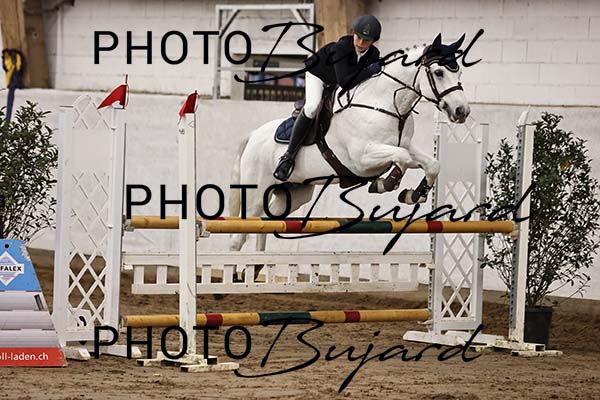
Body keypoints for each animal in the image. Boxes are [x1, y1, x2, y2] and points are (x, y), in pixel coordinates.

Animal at [228, 33, 471, 253]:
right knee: (239, 234)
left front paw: (413, 194)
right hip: (256, 191)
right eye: (439, 72)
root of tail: (253, 135)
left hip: (292, 193)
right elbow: (401, 158)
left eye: (458, 71)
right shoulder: (362, 158)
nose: (462, 111)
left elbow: (430, 164)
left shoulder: (404, 145)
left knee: (265, 222)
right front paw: (385, 184)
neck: (386, 104)